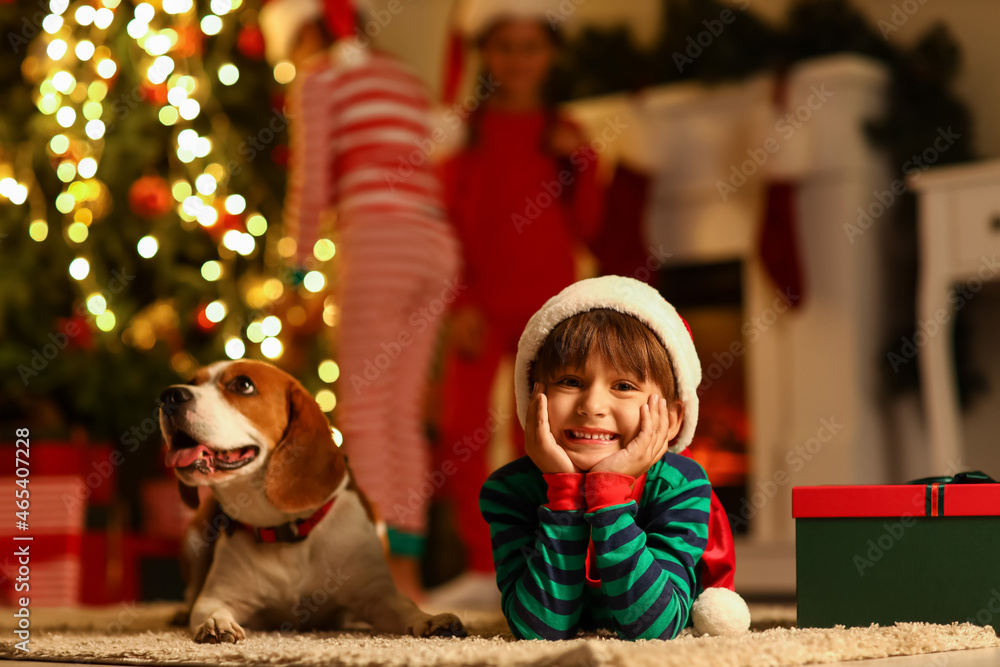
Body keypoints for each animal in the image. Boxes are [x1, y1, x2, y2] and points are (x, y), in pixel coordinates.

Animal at [158, 362, 466, 644]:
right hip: (194, 540)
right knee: (191, 592)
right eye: (192, 382)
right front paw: (216, 623)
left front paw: (430, 620)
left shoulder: (377, 595)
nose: (169, 396)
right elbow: (210, 609)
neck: (286, 532)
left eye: (243, 385)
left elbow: (406, 607)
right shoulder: (218, 596)